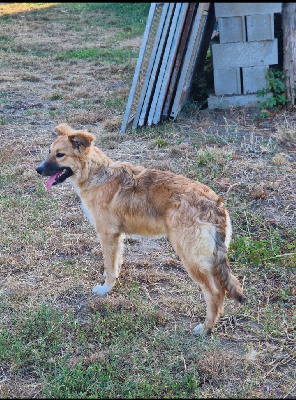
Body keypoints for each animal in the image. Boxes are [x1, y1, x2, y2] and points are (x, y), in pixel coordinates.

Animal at [36, 123, 245, 336]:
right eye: (49, 152)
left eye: (60, 155)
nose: (38, 169)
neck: (96, 175)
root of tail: (214, 204)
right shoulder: (116, 235)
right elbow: (114, 262)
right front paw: (111, 277)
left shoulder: (106, 234)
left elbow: (109, 265)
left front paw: (105, 289)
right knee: (222, 288)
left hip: (191, 259)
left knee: (215, 292)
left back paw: (206, 327)